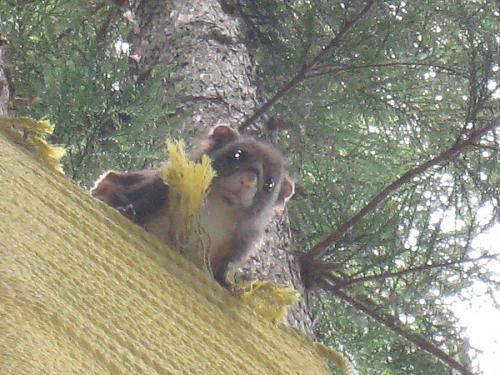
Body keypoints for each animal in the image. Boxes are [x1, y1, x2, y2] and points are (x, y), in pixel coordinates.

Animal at [90, 125, 294, 286]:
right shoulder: (160, 187)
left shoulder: (240, 243)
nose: (248, 180)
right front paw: (127, 211)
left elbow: (222, 270)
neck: (219, 207)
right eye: (238, 155)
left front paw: (229, 282)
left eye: (269, 184)